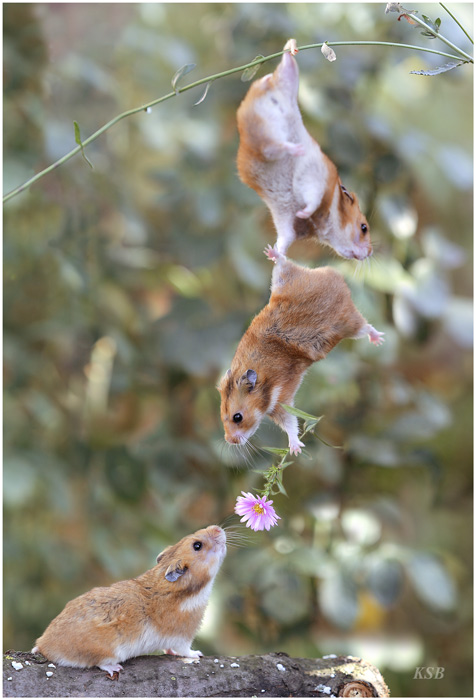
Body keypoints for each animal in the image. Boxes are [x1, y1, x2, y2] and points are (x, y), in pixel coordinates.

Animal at [32, 525, 226, 677]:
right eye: (197, 545)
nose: (218, 528)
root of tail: (44, 644)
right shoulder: (182, 636)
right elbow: (186, 650)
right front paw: (198, 654)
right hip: (108, 650)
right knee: (99, 662)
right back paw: (115, 668)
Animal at [218, 248, 384, 455]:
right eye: (222, 416)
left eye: (237, 417)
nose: (229, 441)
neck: (263, 383)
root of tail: (335, 276)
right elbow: (290, 424)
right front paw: (295, 450)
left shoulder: (281, 401)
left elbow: (291, 424)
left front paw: (295, 450)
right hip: (283, 279)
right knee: (284, 262)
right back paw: (272, 253)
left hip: (348, 323)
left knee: (367, 327)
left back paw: (379, 339)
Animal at [236, 39, 371, 260]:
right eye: (364, 228)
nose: (370, 253)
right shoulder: (314, 181)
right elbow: (311, 201)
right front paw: (303, 213)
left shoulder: (287, 224)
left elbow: (284, 241)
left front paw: (270, 253)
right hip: (272, 126)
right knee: (273, 147)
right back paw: (296, 149)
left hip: (283, 89)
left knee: (286, 65)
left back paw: (291, 48)